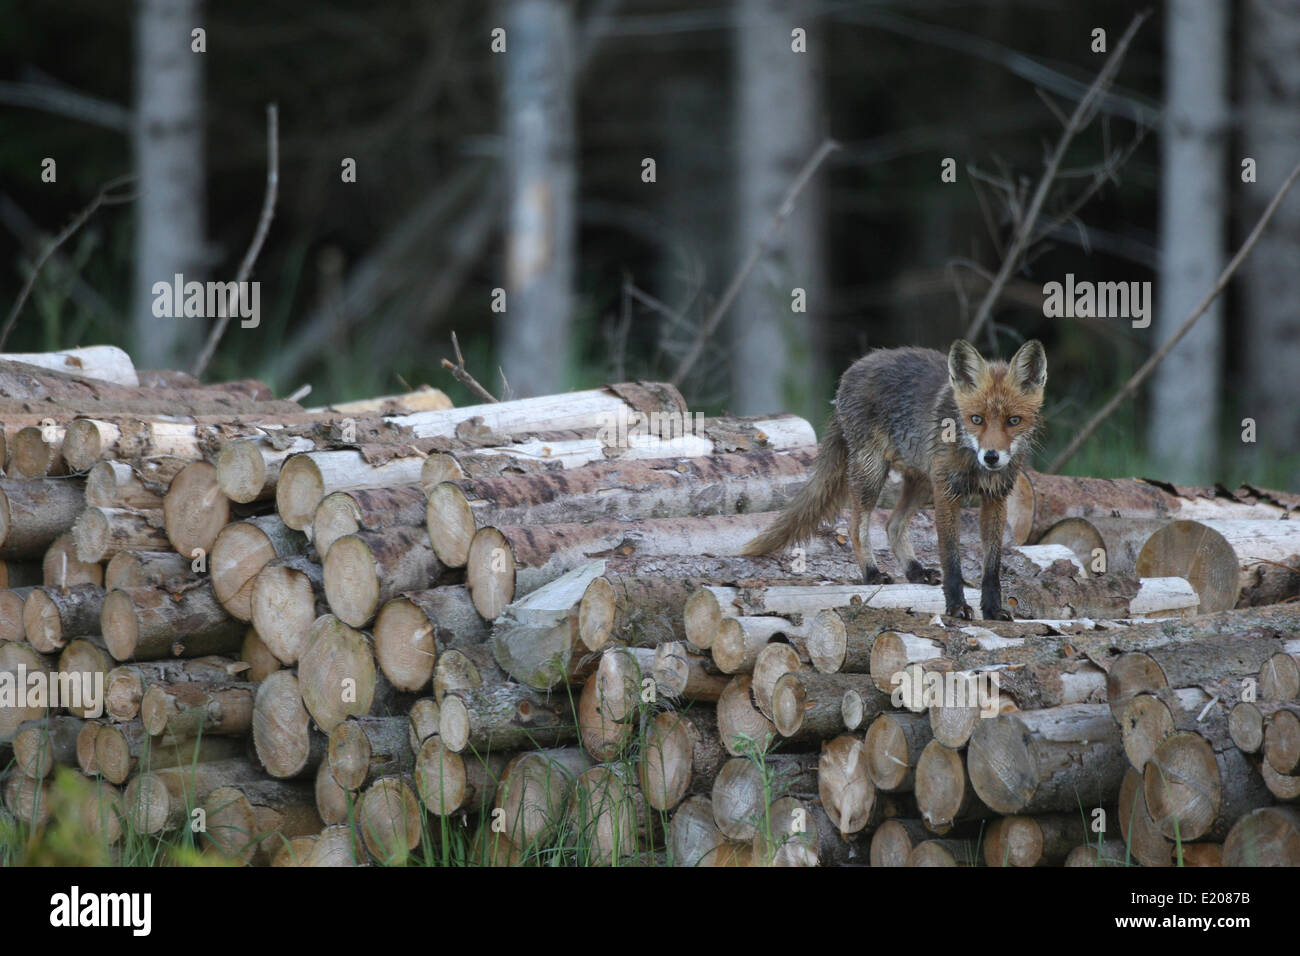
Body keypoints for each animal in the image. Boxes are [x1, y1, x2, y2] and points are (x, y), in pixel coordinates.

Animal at [743, 340, 1045, 624]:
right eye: (977, 419)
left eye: (1013, 420)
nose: (991, 457)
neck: (973, 463)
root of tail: (856, 365)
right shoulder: (946, 492)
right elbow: (951, 558)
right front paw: (956, 606)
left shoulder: (995, 498)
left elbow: (992, 566)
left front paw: (993, 609)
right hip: (872, 473)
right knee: (856, 527)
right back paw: (872, 573)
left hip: (921, 481)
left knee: (893, 524)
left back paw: (915, 571)